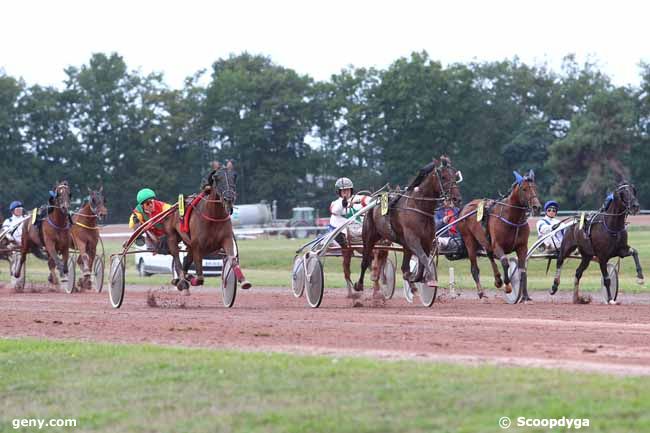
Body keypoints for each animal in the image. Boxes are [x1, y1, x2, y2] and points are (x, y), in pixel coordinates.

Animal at [163, 165, 252, 294]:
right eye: (217, 178)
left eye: (234, 177)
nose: (228, 198)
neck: (214, 217)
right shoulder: (197, 246)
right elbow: (200, 278)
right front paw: (190, 278)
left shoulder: (226, 239)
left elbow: (232, 259)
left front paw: (244, 281)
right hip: (173, 236)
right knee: (176, 256)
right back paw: (181, 281)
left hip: (189, 245)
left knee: (186, 260)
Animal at [352, 157, 464, 298]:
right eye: (443, 177)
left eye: (455, 176)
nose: (456, 199)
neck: (419, 207)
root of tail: (373, 201)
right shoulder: (413, 240)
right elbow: (423, 258)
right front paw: (430, 280)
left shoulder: (426, 241)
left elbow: (422, 262)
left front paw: (417, 278)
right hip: (369, 237)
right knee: (365, 261)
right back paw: (359, 285)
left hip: (404, 245)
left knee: (404, 267)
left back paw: (412, 286)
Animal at [456, 170, 540, 300]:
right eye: (524, 189)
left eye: (535, 187)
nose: (537, 206)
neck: (513, 219)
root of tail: (465, 208)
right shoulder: (498, 246)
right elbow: (505, 262)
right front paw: (508, 286)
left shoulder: (522, 247)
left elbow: (522, 270)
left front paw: (525, 296)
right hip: (469, 241)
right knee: (475, 269)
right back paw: (481, 292)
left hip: (485, 241)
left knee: (490, 256)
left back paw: (497, 280)